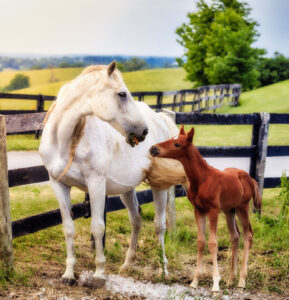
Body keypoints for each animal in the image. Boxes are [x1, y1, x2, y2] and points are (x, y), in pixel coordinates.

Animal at [39, 62, 186, 284]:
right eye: (122, 94)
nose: (143, 131)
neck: (66, 141)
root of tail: (159, 118)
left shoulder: (96, 184)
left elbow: (98, 227)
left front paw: (99, 273)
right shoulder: (59, 184)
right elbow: (68, 228)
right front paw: (69, 274)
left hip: (158, 186)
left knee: (159, 225)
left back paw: (163, 270)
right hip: (126, 189)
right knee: (136, 221)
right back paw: (127, 264)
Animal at [150, 125, 262, 292]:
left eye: (177, 144)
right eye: (170, 138)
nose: (153, 149)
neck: (202, 179)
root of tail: (250, 178)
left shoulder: (213, 211)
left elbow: (213, 243)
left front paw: (215, 283)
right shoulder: (199, 211)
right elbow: (201, 242)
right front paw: (195, 281)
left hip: (242, 208)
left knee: (248, 235)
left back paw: (242, 281)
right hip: (229, 210)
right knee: (235, 236)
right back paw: (231, 279)